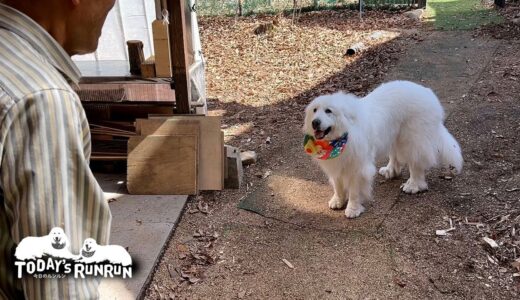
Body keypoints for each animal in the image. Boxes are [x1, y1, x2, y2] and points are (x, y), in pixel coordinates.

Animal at [304, 81, 464, 219]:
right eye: (315, 110)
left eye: (328, 111)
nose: (315, 122)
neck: (344, 133)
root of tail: (427, 92)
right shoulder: (336, 165)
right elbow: (337, 185)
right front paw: (338, 201)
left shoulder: (358, 168)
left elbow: (354, 191)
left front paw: (353, 209)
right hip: (393, 135)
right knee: (395, 157)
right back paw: (390, 171)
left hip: (413, 140)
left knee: (416, 165)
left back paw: (413, 185)